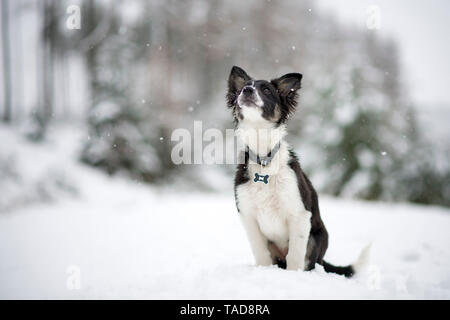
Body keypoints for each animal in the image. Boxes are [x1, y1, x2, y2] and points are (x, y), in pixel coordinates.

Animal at [227, 66, 368, 276]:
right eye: (244, 87)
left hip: (317, 237)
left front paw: (294, 276)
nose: (247, 91)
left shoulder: (299, 214)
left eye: (267, 90)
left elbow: (295, 254)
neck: (264, 160)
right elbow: (260, 252)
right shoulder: (247, 215)